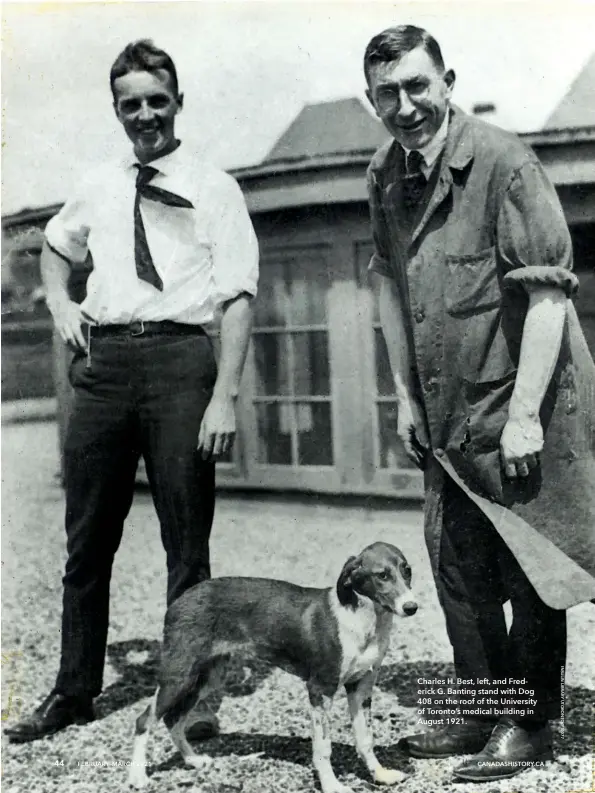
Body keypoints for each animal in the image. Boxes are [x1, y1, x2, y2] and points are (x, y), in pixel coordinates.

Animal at [128, 540, 416, 788]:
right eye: (382, 575)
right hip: (179, 675)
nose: (411, 607)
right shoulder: (320, 689)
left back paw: (192, 760)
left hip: (207, 677)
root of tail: (180, 600)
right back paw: (138, 777)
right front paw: (332, 786)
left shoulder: (361, 686)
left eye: (407, 570)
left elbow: (366, 738)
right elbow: (323, 747)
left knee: (173, 720)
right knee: (145, 720)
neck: (363, 620)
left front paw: (380, 775)